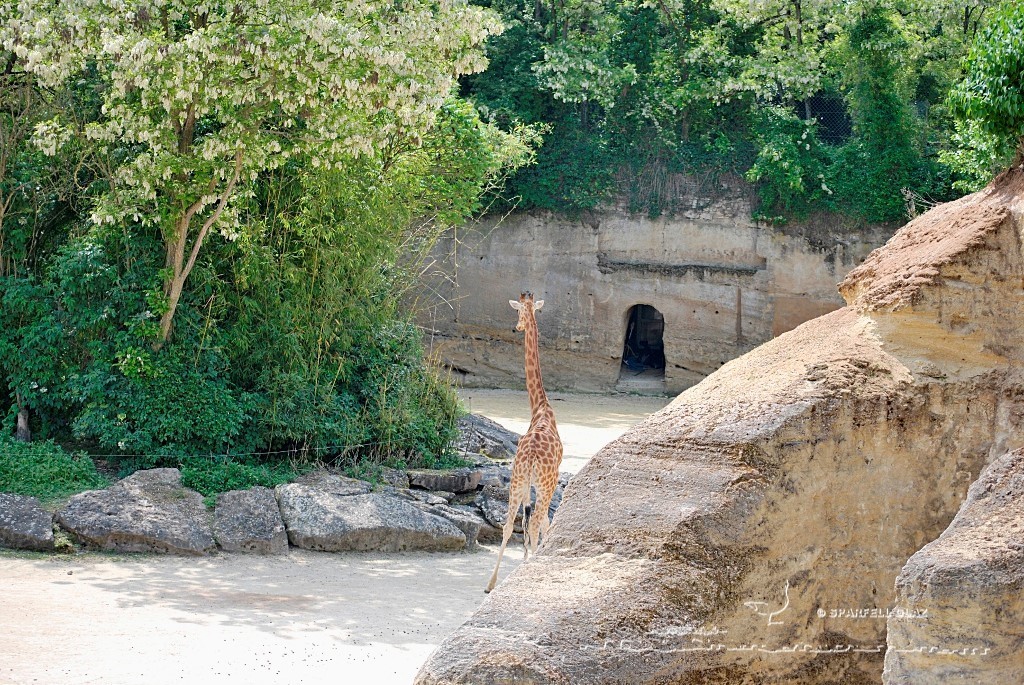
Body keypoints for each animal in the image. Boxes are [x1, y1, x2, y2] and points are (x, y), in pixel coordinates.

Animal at [486, 292, 564, 593]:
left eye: (518, 312)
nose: (516, 327)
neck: (540, 407)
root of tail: (530, 458)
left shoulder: (528, 487)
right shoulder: (546, 485)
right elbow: (542, 525)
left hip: (518, 482)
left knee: (510, 525)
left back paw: (491, 584)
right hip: (542, 484)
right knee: (535, 523)